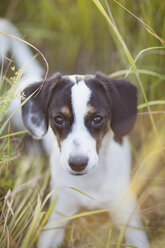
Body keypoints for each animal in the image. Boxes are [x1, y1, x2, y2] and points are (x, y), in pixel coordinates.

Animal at [0, 19, 150, 248]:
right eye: (58, 119)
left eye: (97, 118)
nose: (77, 164)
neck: (90, 182)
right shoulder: (58, 216)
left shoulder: (127, 214)